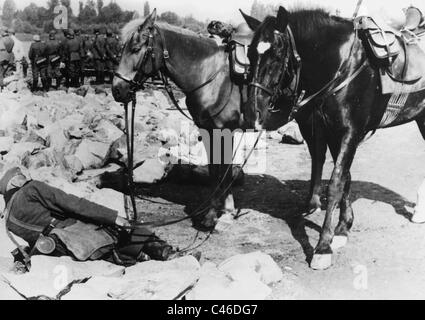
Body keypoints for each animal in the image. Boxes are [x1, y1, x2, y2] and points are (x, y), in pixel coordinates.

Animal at [112, 10, 256, 230]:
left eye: (135, 48)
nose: (117, 90)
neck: (211, 77)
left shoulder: (224, 131)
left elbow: (224, 172)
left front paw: (224, 215)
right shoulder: (207, 130)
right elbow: (215, 172)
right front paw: (212, 214)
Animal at [243, 6, 424, 268]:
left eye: (276, 55)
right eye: (249, 53)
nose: (251, 114)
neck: (343, 65)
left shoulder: (350, 132)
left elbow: (336, 182)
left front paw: (323, 247)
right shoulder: (329, 130)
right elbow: (344, 177)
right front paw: (343, 228)